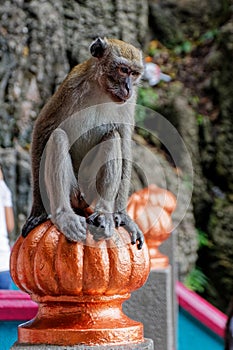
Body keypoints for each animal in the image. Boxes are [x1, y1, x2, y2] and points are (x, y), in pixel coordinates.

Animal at [22, 37, 146, 249]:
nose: (129, 88)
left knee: (113, 136)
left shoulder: (129, 103)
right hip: (74, 191)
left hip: (89, 190)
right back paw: (65, 216)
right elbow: (43, 129)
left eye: (135, 73)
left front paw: (123, 216)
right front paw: (38, 211)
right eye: (123, 70)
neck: (101, 89)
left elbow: (124, 143)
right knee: (58, 137)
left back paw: (103, 214)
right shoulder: (70, 87)